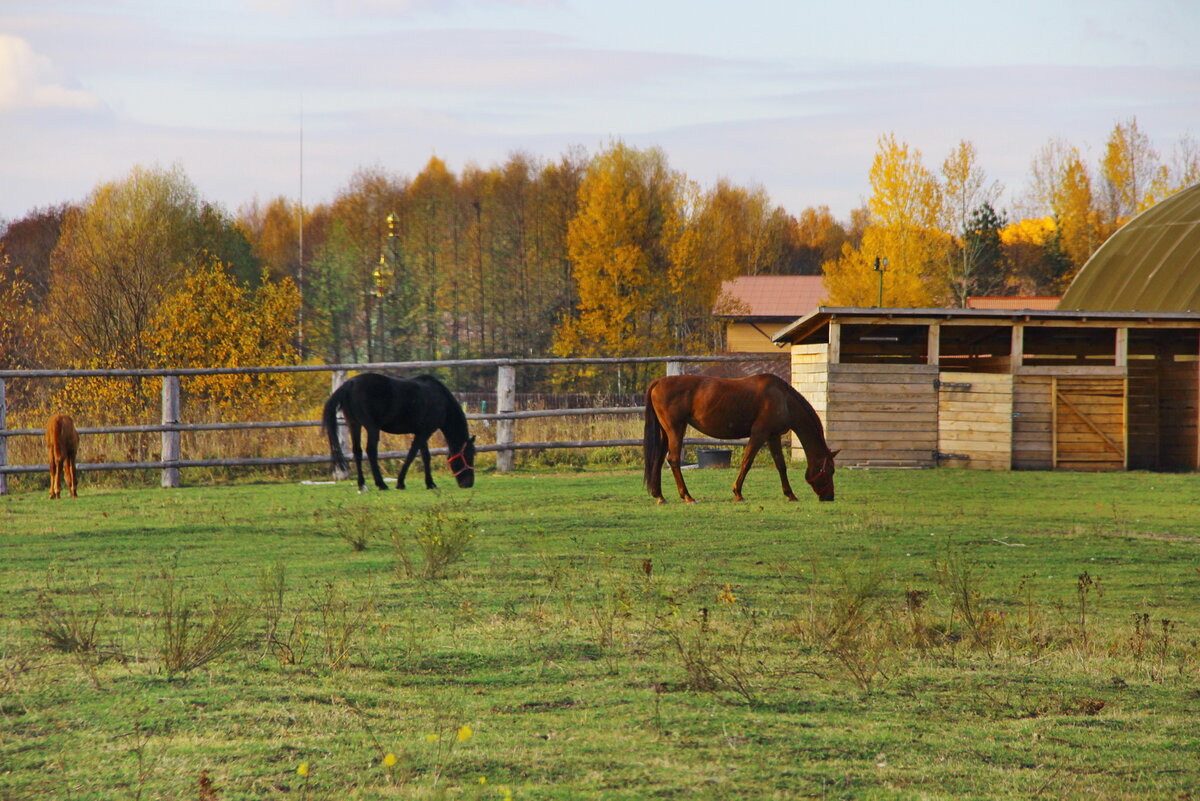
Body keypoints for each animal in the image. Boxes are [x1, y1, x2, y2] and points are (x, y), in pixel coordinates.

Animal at [321, 371, 475, 491]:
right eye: (469, 456)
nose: (468, 483)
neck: (440, 399)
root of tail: (350, 383)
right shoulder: (424, 432)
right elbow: (412, 455)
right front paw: (400, 483)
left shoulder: (422, 432)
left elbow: (425, 456)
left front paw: (430, 483)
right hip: (372, 427)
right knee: (371, 451)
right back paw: (381, 484)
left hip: (354, 424)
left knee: (357, 451)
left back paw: (362, 485)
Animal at [648, 371, 835, 503]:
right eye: (830, 470)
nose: (830, 497)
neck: (783, 399)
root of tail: (659, 382)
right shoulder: (759, 434)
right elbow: (747, 462)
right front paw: (737, 493)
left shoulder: (773, 437)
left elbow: (780, 465)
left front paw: (790, 494)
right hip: (676, 429)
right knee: (673, 459)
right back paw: (687, 496)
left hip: (666, 432)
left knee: (658, 459)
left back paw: (660, 496)